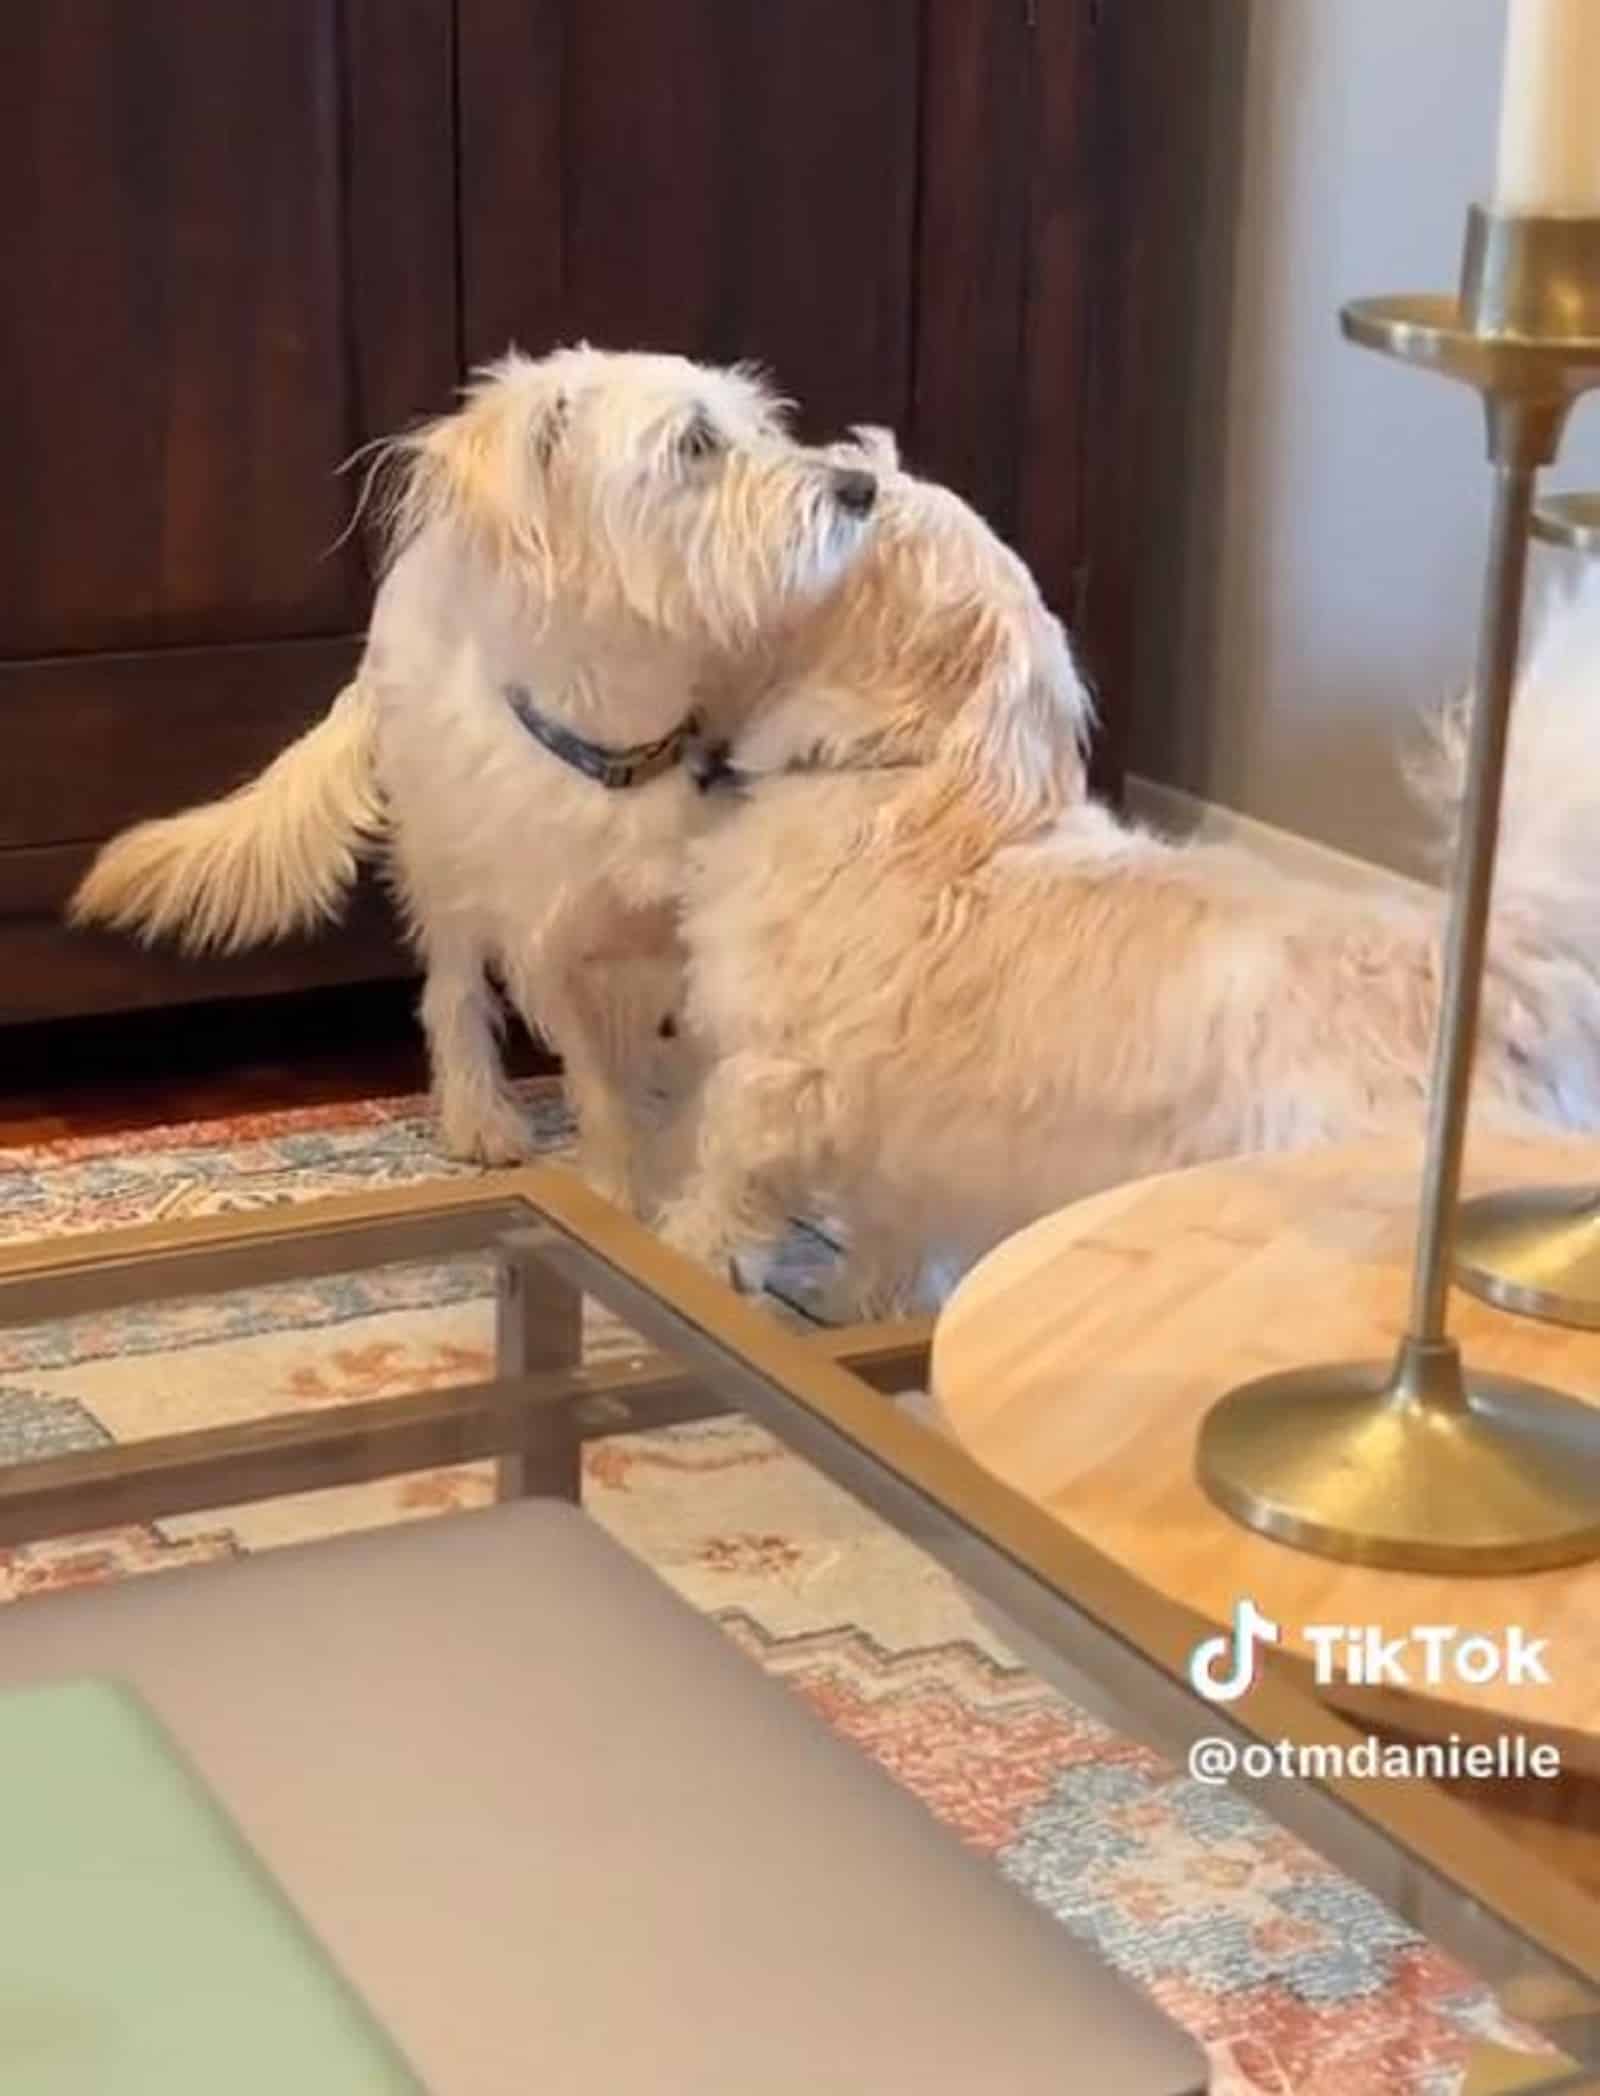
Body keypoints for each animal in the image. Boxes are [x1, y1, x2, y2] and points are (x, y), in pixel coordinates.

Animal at [71, 343, 876, 1198]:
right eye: (694, 444)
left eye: (762, 424)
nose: (861, 488)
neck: (625, 753)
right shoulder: (553, 949)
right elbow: (604, 1093)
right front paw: (620, 1193)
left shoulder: (701, 935)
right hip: (441, 859)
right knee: (451, 992)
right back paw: (479, 1117)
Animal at [658, 463, 1600, 1307]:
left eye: (883, 516)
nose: (856, 478)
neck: (897, 771)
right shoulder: (912, 1152)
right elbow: (895, 1248)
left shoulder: (778, 1077)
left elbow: (724, 1175)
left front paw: (689, 1249)